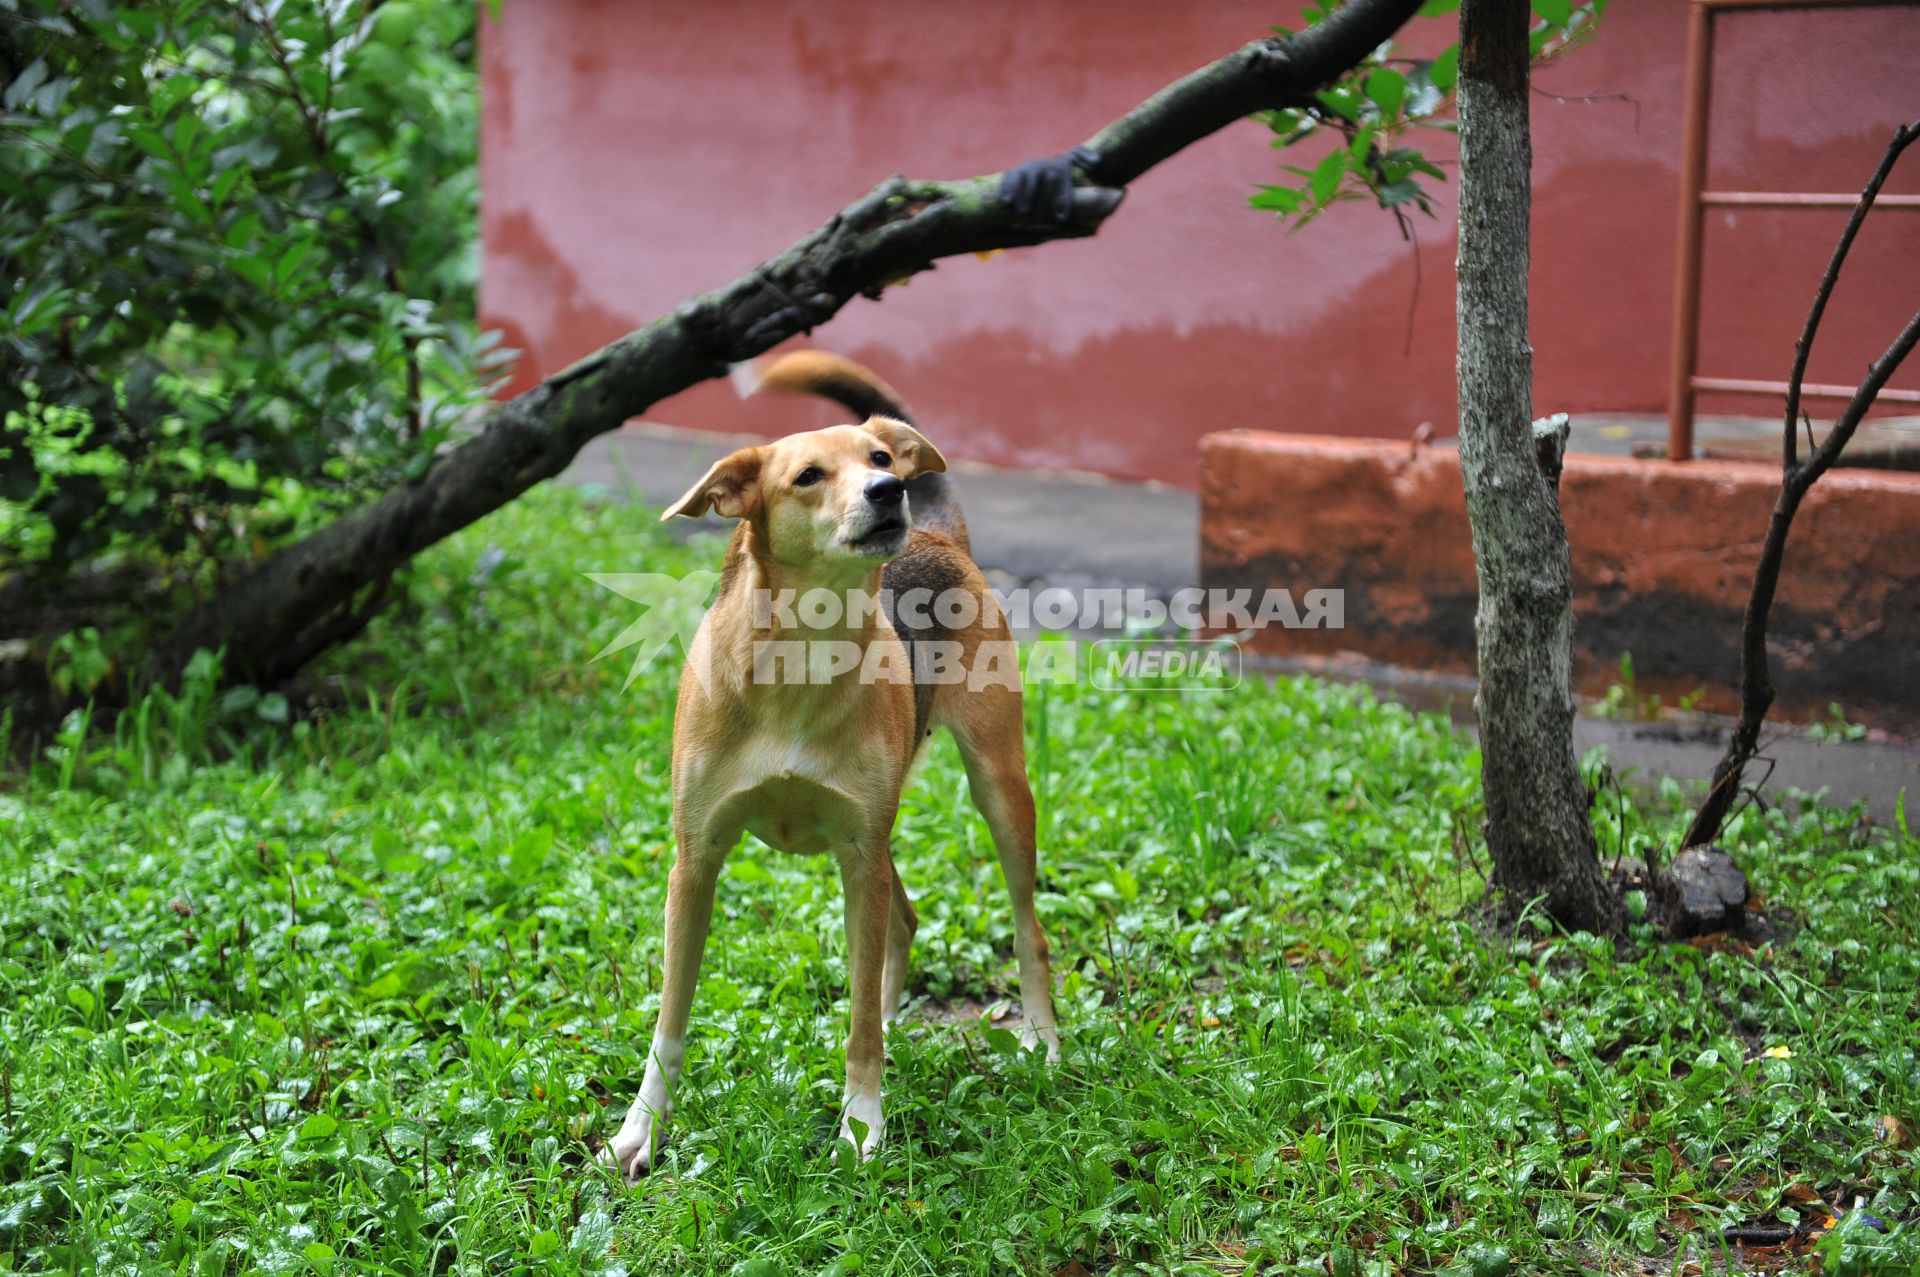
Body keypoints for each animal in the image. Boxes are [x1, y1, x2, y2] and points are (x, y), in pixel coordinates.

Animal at [602, 349, 1067, 1175]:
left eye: (879, 459)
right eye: (809, 476)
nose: (889, 491)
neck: (800, 658)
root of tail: (941, 534)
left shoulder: (857, 850)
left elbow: (859, 1027)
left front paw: (861, 1124)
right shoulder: (696, 861)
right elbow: (670, 1022)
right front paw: (641, 1128)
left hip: (995, 787)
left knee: (1024, 928)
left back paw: (1040, 1038)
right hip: (881, 843)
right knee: (903, 921)